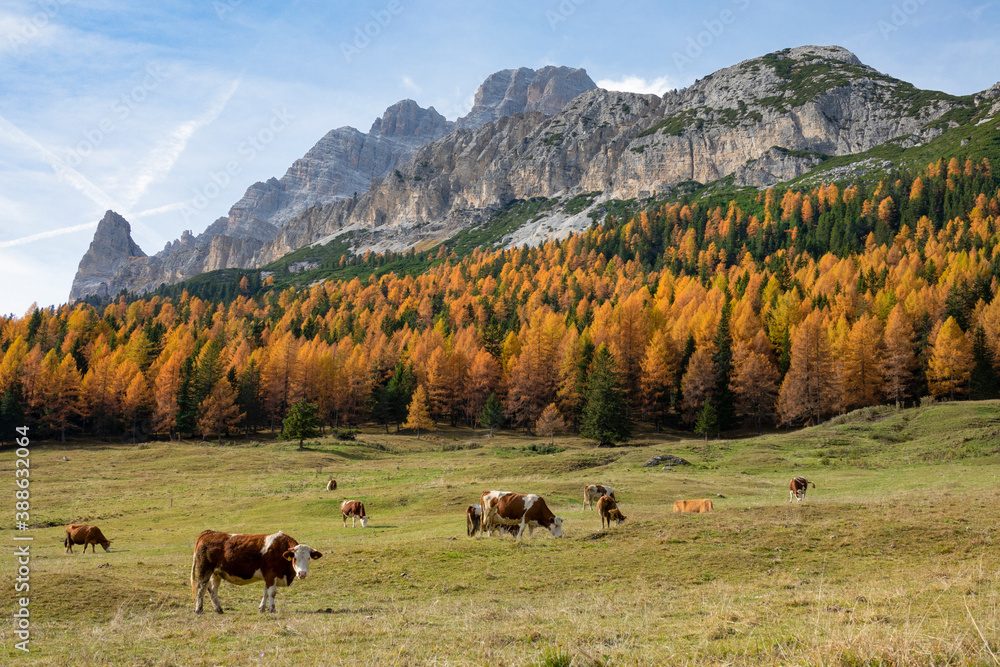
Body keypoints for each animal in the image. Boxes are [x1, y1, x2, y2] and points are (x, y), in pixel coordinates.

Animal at [190, 532, 320, 616]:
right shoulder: (271, 574)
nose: (302, 573)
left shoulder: (269, 577)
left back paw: (219, 609)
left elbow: (266, 592)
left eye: (309, 558)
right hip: (204, 570)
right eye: (295, 558)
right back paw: (199, 610)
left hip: (216, 573)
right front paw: (272, 609)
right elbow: (272, 593)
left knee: (212, 589)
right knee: (201, 588)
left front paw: (262, 609)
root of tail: (208, 533)